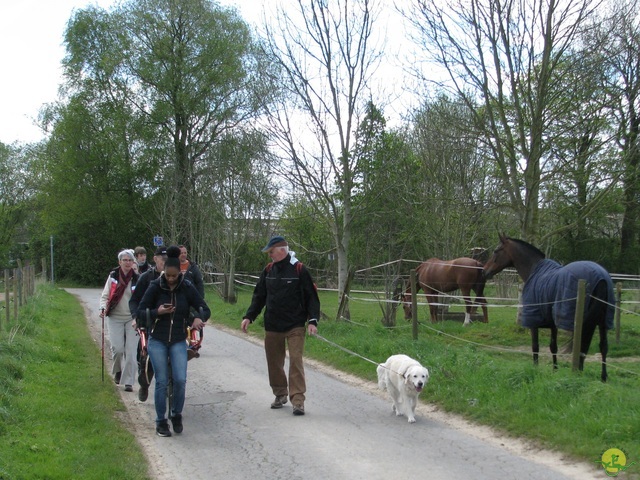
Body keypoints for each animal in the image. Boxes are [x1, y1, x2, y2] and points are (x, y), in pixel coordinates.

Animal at [484, 234, 616, 380]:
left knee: (583, 346)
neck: (534, 269)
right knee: (603, 346)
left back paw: (578, 373)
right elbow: (553, 347)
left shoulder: (533, 321)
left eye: (496, 251)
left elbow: (535, 347)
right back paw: (603, 377)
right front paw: (555, 370)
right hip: (603, 322)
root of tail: (601, 278)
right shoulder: (552, 323)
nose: (485, 271)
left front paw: (535, 369)